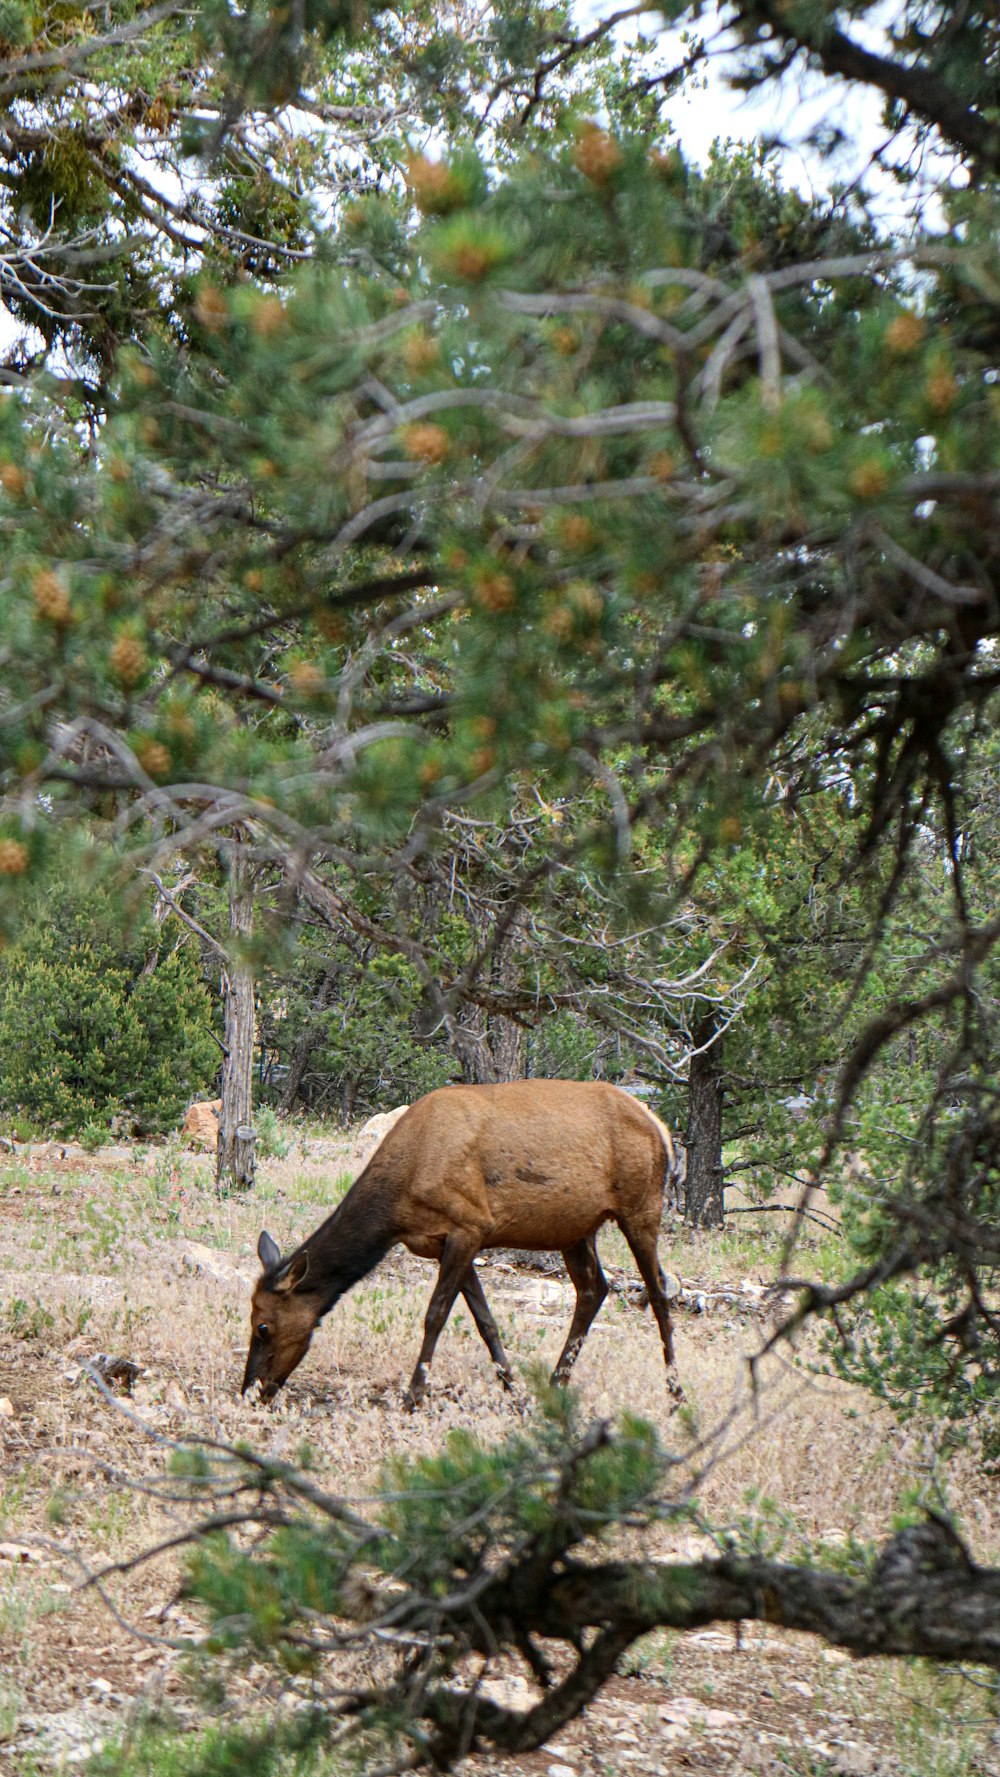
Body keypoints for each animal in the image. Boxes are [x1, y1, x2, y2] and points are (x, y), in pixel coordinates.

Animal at [241, 1073, 682, 1407]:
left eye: (262, 1326)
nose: (250, 1390)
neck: (398, 1205)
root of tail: (661, 1128)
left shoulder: (470, 1225)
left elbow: (436, 1314)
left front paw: (414, 1395)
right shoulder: (448, 1242)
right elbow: (486, 1321)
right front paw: (512, 1387)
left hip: (641, 1207)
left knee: (659, 1292)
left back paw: (675, 1393)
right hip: (575, 1228)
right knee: (595, 1289)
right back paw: (557, 1382)